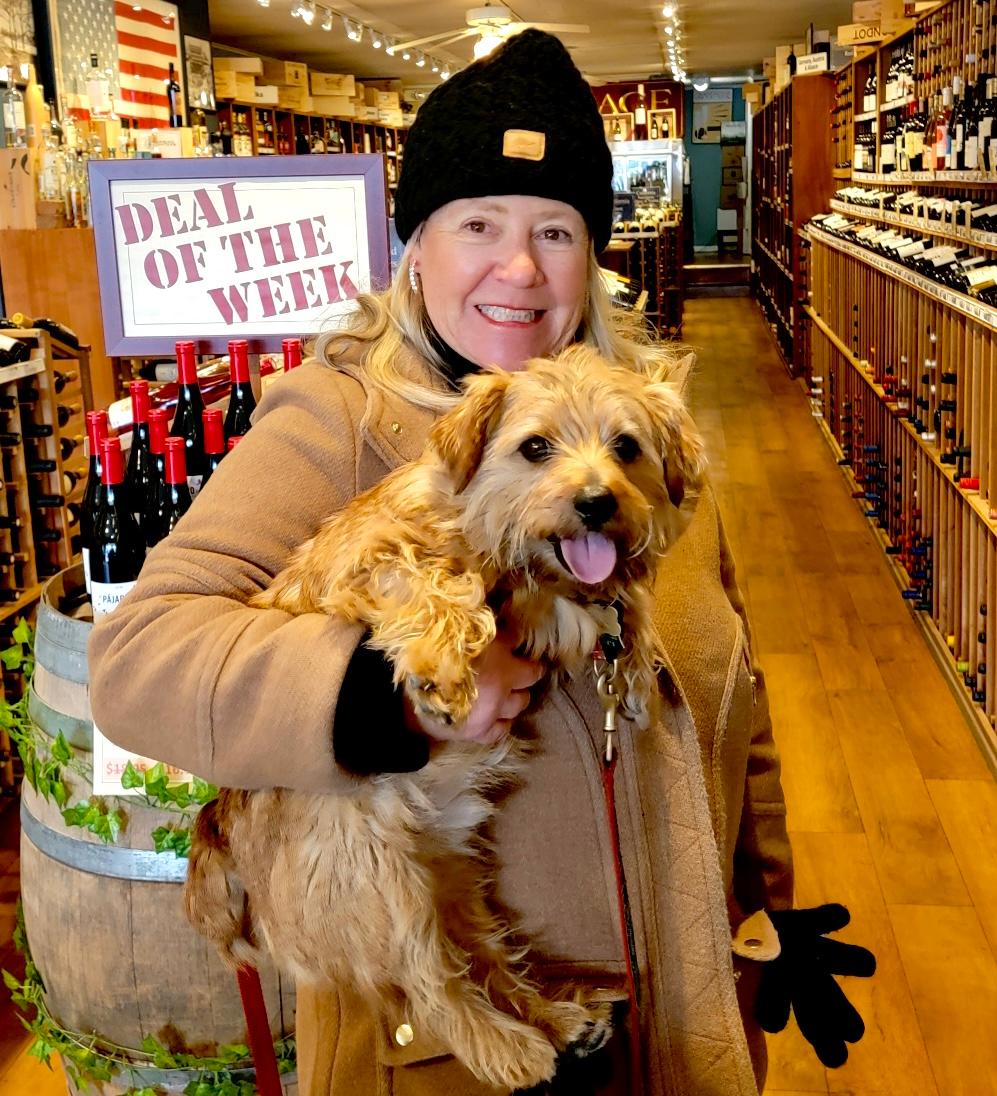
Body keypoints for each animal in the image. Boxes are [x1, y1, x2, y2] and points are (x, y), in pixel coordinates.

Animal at [182, 346, 705, 1091]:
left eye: (626, 446)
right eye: (535, 447)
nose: (596, 502)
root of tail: (216, 826)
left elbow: (615, 603)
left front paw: (631, 662)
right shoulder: (364, 565)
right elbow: (432, 582)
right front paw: (446, 666)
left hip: (452, 876)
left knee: (485, 958)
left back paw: (558, 1020)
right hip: (380, 881)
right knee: (432, 987)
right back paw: (508, 1049)